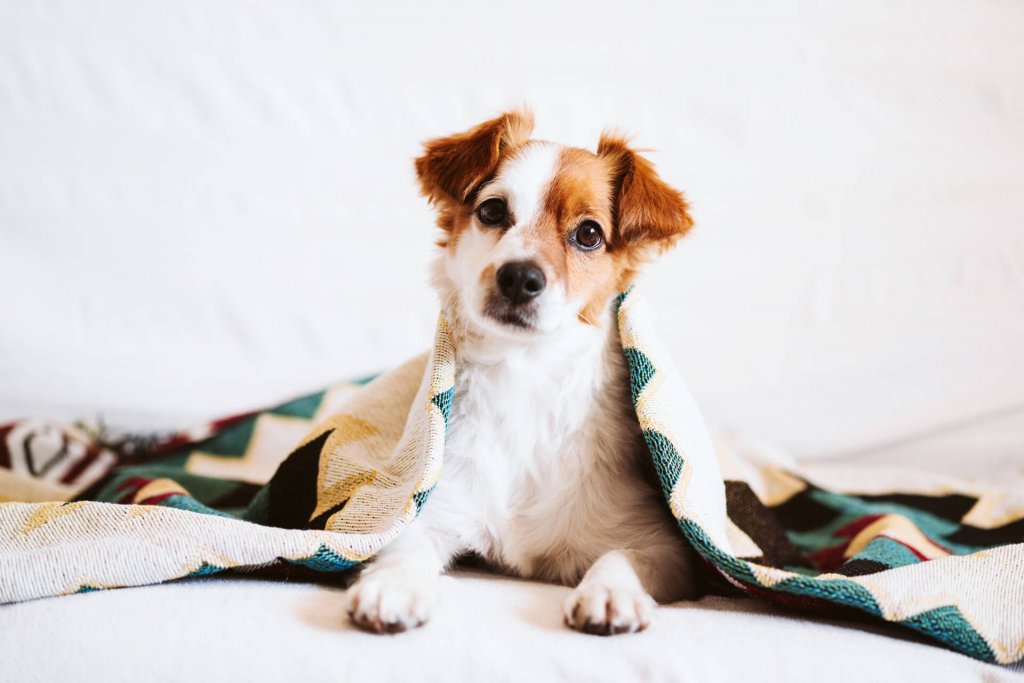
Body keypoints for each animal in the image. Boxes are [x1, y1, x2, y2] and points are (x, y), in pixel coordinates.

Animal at [344, 109, 696, 638]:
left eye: (589, 234)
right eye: (492, 211)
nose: (519, 277)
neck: (526, 375)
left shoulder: (665, 544)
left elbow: (622, 556)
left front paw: (608, 592)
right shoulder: (431, 502)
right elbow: (403, 542)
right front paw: (394, 585)